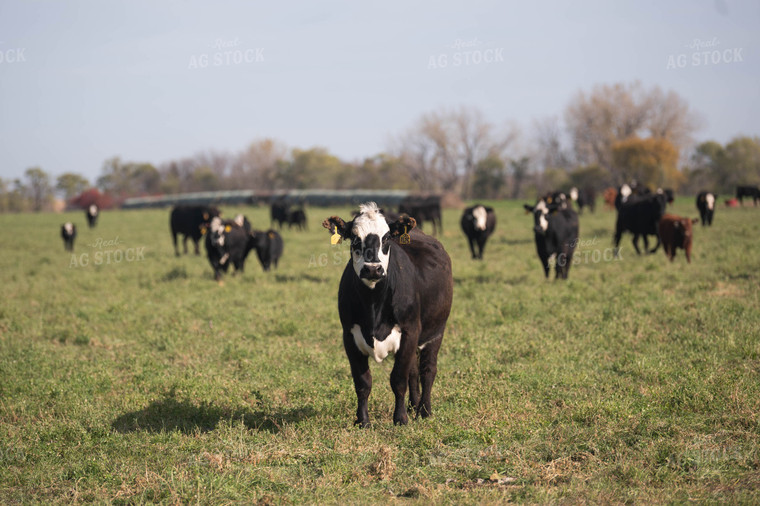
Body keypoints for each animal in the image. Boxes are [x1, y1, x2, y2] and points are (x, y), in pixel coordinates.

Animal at [320, 202, 452, 426]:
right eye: (354, 237)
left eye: (387, 237)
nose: (373, 269)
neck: (374, 306)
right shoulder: (349, 335)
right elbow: (363, 382)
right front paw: (362, 421)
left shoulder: (409, 331)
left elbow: (398, 379)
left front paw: (400, 419)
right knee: (414, 372)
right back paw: (413, 406)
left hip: (436, 332)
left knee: (428, 370)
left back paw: (424, 411)